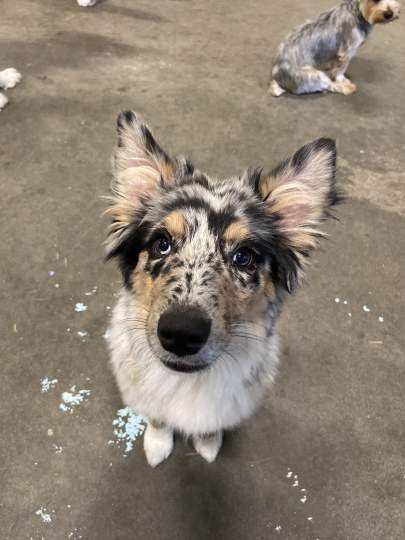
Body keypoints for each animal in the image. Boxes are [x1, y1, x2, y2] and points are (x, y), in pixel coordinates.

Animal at [105, 110, 338, 468]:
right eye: (161, 244)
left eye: (244, 257)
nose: (181, 333)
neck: (187, 382)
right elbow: (158, 418)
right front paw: (157, 444)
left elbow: (209, 426)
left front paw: (208, 443)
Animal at [270, 0, 400, 96]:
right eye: (374, 0)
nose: (389, 13)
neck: (358, 12)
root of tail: (276, 77)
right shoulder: (347, 52)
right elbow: (340, 71)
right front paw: (341, 79)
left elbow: (334, 65)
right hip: (310, 75)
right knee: (328, 85)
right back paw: (346, 88)